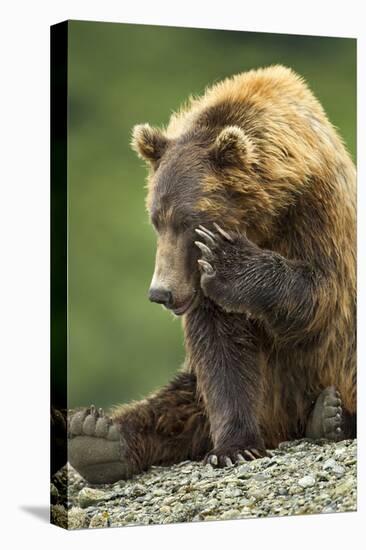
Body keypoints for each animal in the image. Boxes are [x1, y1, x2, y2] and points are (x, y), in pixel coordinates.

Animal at [67, 67, 356, 486]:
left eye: (189, 220)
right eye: (156, 219)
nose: (161, 293)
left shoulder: (317, 212)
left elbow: (320, 292)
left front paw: (228, 259)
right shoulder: (197, 286)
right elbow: (221, 351)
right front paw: (234, 446)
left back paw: (331, 416)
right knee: (180, 401)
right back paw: (96, 437)